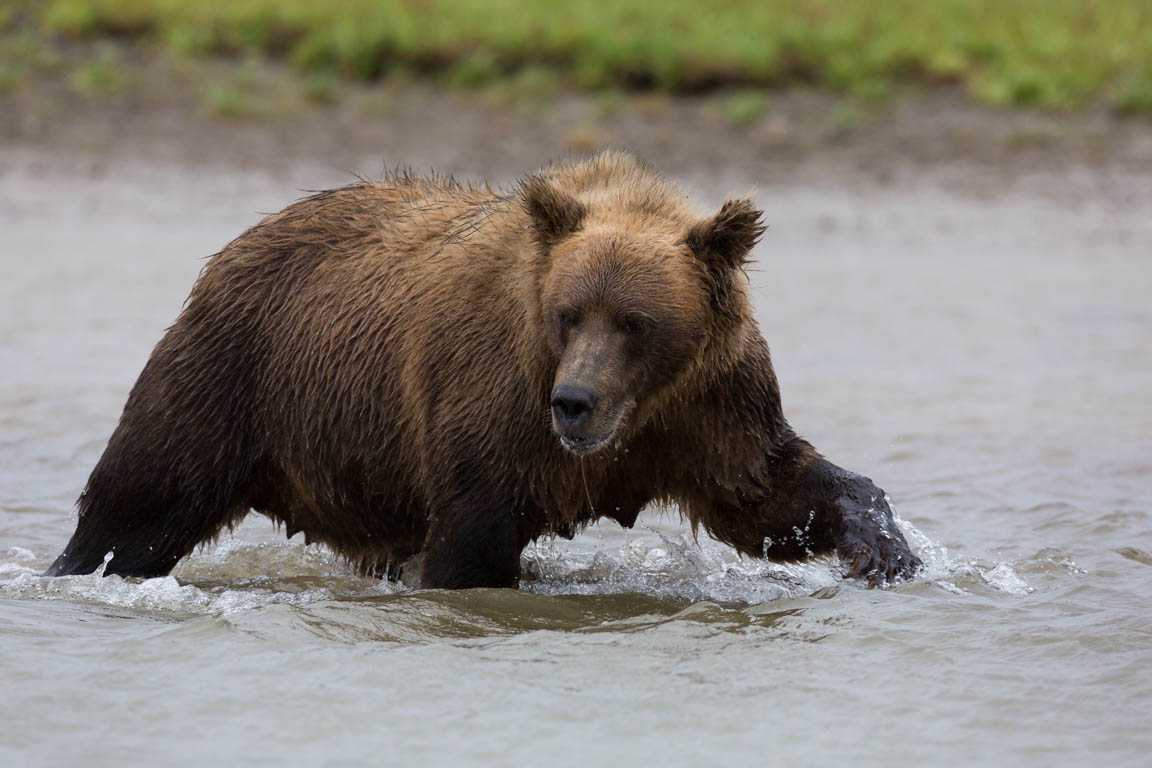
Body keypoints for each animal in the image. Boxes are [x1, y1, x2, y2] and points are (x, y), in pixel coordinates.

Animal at [44, 153, 921, 594]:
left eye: (635, 322)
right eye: (568, 313)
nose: (573, 403)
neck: (635, 417)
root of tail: (240, 240)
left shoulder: (709, 406)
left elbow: (768, 496)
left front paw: (887, 551)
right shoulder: (492, 397)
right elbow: (472, 544)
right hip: (232, 373)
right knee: (139, 504)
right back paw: (76, 569)